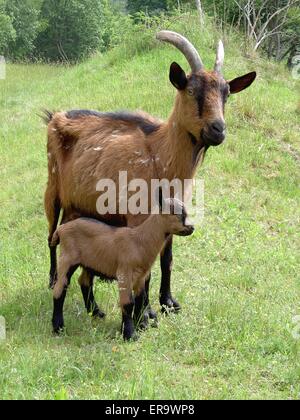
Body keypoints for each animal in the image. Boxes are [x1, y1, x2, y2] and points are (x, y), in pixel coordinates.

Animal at [43, 32, 256, 324]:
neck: (160, 156)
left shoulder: (174, 213)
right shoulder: (137, 215)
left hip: (80, 206)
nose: (218, 129)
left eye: (227, 95)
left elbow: (167, 258)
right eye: (191, 91)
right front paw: (145, 314)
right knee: (51, 236)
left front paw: (168, 303)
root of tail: (55, 117)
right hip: (52, 192)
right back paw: (53, 279)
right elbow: (146, 263)